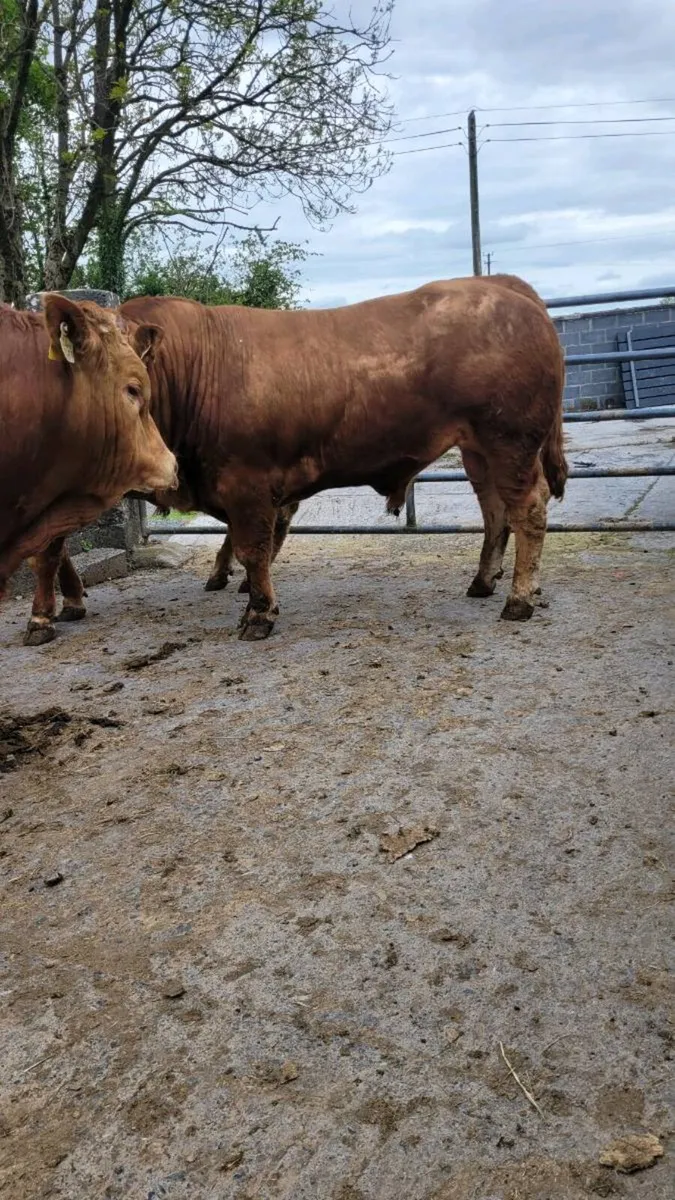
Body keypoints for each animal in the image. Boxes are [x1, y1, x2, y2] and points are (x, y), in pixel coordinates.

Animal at [117, 273, 567, 640]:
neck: (196, 365)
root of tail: (502, 285)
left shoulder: (247, 486)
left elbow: (253, 549)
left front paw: (258, 615)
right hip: (478, 451)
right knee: (495, 512)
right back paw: (483, 582)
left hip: (510, 443)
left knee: (529, 510)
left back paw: (519, 600)